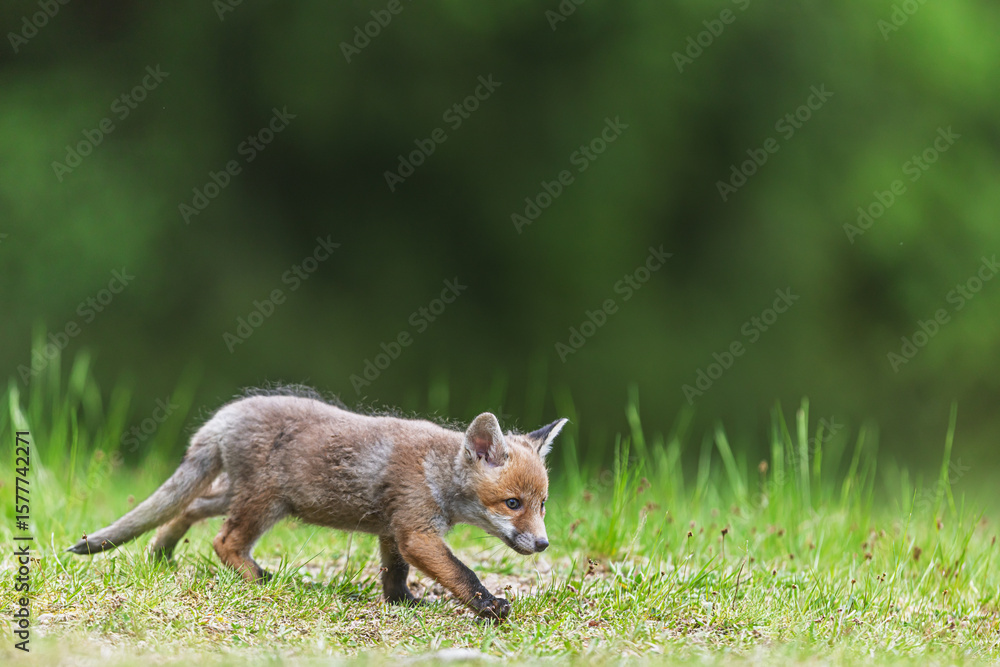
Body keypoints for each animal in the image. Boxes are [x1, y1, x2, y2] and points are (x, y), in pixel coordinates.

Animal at [67, 390, 567, 621]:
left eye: (542, 504)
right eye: (512, 503)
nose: (543, 544)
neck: (437, 472)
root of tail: (224, 415)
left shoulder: (393, 531)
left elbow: (394, 573)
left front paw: (402, 602)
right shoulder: (416, 530)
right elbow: (462, 573)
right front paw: (488, 606)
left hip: (235, 495)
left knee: (188, 509)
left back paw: (161, 551)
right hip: (264, 505)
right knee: (223, 541)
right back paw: (259, 579)